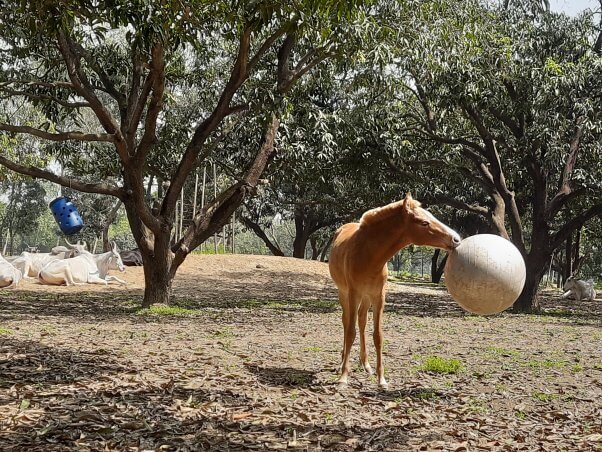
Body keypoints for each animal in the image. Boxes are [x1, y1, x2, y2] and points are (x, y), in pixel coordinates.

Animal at [326, 192, 458, 386]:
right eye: (424, 222)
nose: (456, 239)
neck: (368, 255)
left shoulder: (379, 296)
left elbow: (378, 335)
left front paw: (381, 379)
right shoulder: (353, 293)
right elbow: (350, 332)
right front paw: (343, 377)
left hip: (366, 297)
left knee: (362, 321)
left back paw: (365, 364)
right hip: (344, 293)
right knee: (346, 321)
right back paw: (342, 362)